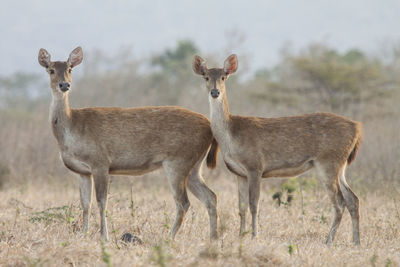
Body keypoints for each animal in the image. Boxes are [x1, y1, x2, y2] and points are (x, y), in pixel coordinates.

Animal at [37, 47, 219, 242]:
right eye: (51, 70)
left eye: (70, 69)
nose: (64, 85)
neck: (72, 129)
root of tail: (209, 127)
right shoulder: (83, 171)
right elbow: (86, 203)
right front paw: (84, 234)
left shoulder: (100, 162)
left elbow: (102, 201)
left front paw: (105, 237)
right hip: (194, 166)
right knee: (210, 197)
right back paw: (213, 238)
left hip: (178, 161)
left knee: (183, 202)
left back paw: (167, 238)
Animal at [193, 53, 362, 246]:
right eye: (206, 77)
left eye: (223, 76)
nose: (215, 92)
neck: (231, 136)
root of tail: (357, 128)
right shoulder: (239, 173)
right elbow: (241, 207)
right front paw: (240, 236)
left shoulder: (255, 166)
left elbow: (254, 204)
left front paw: (254, 236)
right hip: (341, 165)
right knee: (353, 199)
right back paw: (356, 241)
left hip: (328, 162)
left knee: (340, 202)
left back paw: (329, 241)